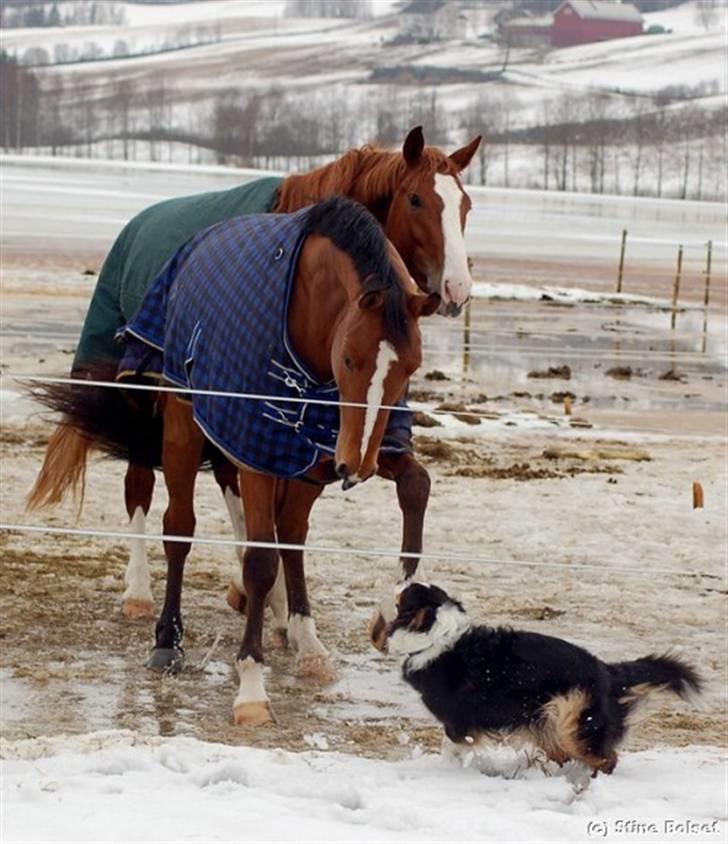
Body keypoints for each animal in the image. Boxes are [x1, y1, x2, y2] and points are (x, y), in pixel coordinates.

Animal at [29, 127, 484, 632]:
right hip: (146, 394)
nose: (457, 289)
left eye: (465, 205)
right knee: (141, 480)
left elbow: (411, 487)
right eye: (417, 199)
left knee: (228, 481)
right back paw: (140, 590)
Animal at [32, 198, 438, 724]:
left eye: (410, 367)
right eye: (350, 358)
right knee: (177, 525)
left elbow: (413, 489)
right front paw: (251, 689)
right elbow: (261, 561)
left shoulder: (321, 450)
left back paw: (305, 639)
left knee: (288, 533)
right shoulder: (260, 453)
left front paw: (382, 612)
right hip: (183, 426)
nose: (357, 467)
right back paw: (167, 639)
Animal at [376, 584, 700, 776]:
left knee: (607, 759)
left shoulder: (459, 724)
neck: (435, 635)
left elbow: (451, 747)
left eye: (406, 594)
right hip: (550, 721)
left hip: (573, 720)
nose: (401, 579)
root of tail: (608, 671)